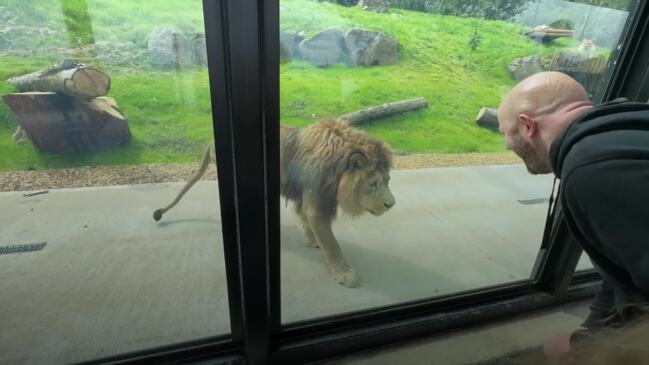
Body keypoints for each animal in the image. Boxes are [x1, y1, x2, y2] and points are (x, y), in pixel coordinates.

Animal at [152, 118, 394, 288]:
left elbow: (307, 222)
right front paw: (344, 273)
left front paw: (312, 240)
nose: (391, 204)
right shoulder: (315, 203)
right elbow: (333, 244)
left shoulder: (305, 199)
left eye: (388, 180)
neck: (337, 168)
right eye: (373, 184)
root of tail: (212, 141)